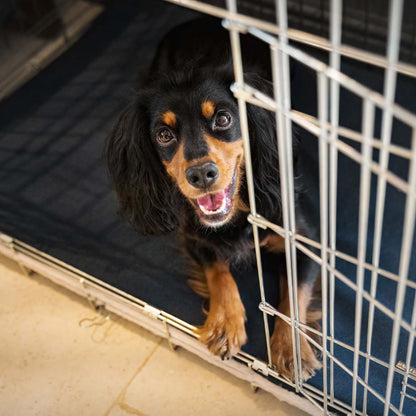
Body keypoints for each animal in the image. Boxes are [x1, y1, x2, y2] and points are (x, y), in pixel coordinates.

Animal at [107, 17, 322, 380]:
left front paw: (290, 347)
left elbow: (293, 295)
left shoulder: (304, 239)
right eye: (164, 135)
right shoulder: (194, 236)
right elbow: (217, 269)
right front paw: (224, 323)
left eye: (223, 118)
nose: (201, 174)